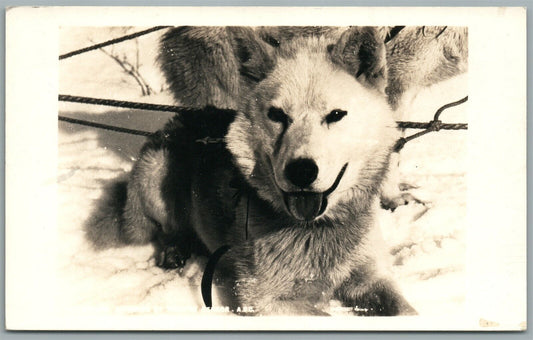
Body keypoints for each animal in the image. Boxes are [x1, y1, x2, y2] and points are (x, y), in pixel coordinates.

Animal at [86, 26, 416, 316]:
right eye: (277, 115)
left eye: (336, 115)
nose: (301, 171)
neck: (316, 229)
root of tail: (185, 117)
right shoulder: (262, 298)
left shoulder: (373, 276)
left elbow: (406, 310)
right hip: (156, 172)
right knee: (167, 228)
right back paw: (175, 249)